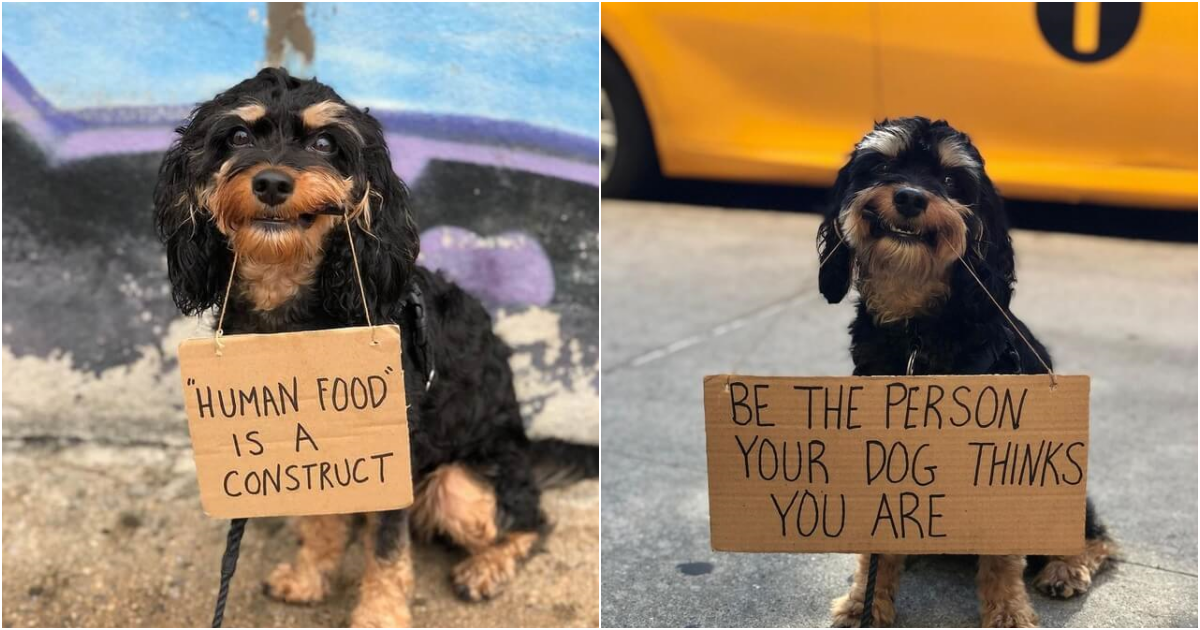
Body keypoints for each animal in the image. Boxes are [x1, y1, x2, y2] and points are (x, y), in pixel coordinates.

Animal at [153, 66, 595, 624]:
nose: (271, 182)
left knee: (530, 520)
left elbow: (387, 551)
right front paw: (309, 576)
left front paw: (378, 616)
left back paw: (486, 567)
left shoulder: (389, 454)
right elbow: (322, 521)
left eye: (324, 143)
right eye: (237, 136)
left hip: (458, 483)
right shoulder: (312, 449)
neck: (291, 303)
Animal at [816, 116, 1113, 624]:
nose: (910, 196)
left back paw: (1067, 565)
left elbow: (1003, 557)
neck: (917, 331)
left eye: (952, 180)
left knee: (1098, 534)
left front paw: (1008, 612)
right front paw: (864, 602)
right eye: (882, 166)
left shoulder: (999, 461)